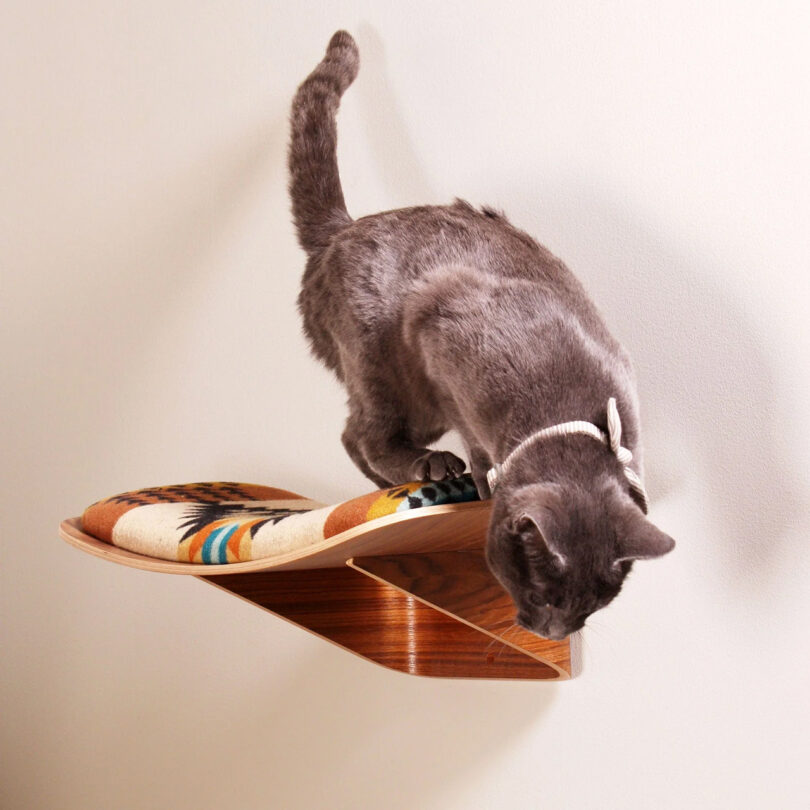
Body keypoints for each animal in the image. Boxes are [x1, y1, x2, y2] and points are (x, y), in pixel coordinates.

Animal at [288, 30, 672, 636]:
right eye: (542, 597)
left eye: (590, 610)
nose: (550, 632)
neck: (568, 410)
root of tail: (340, 229)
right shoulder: (438, 327)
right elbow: (470, 436)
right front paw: (481, 473)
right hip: (386, 363)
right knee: (366, 431)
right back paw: (426, 466)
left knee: (351, 431)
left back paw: (382, 487)